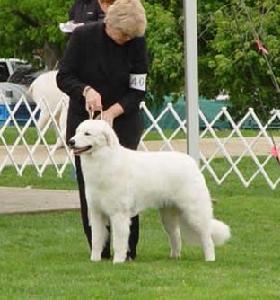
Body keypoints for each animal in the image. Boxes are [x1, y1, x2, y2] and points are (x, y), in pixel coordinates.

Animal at [69, 120, 231, 264]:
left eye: (87, 133)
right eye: (76, 132)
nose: (70, 142)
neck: (105, 160)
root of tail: (191, 162)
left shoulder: (119, 215)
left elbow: (119, 242)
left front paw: (118, 262)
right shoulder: (96, 213)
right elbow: (96, 240)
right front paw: (94, 261)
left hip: (195, 212)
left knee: (207, 237)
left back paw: (210, 259)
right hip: (168, 216)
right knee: (176, 236)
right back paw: (174, 258)